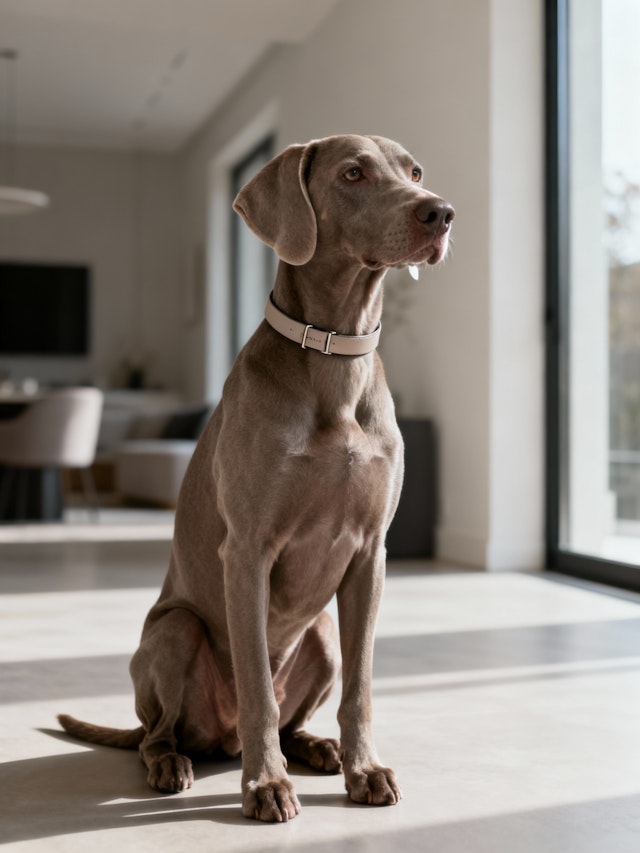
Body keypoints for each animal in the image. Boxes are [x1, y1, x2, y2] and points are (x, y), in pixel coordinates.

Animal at [59, 134, 454, 822]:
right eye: (353, 173)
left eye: (414, 171)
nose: (441, 213)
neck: (334, 353)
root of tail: (216, 740)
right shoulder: (246, 552)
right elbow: (258, 694)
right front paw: (266, 785)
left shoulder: (370, 556)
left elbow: (362, 687)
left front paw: (365, 769)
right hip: (176, 630)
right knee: (158, 733)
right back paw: (173, 764)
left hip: (322, 635)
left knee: (297, 709)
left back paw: (319, 749)